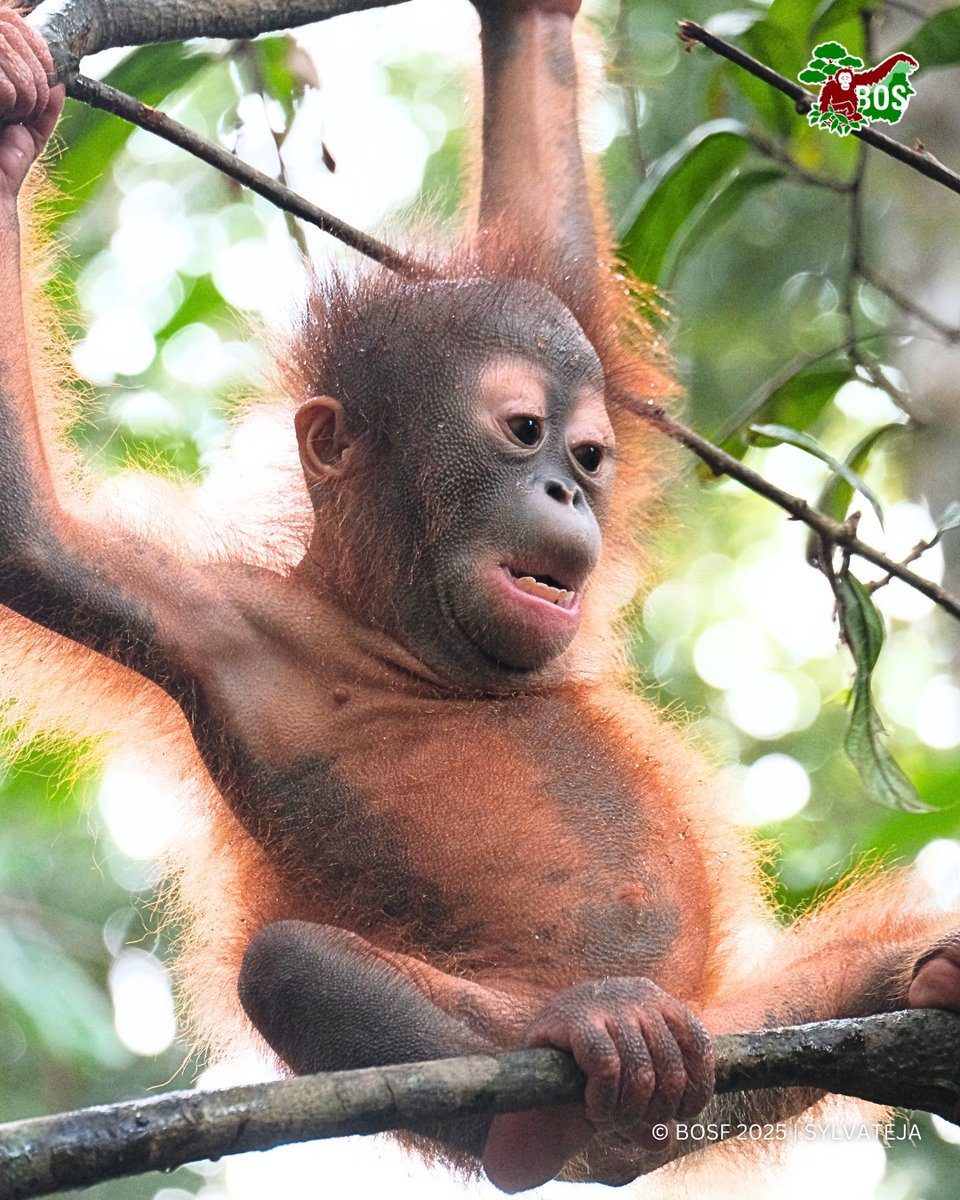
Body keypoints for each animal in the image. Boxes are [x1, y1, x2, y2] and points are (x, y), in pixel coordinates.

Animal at [0, 2, 958, 1194]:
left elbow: (554, 247)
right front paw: (17, 120)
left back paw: (918, 979)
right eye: (520, 432)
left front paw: (528, 19)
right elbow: (33, 542)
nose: (568, 490)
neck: (406, 639)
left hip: (738, 1034)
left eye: (588, 455)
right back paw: (561, 1074)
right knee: (291, 966)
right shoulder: (206, 623)